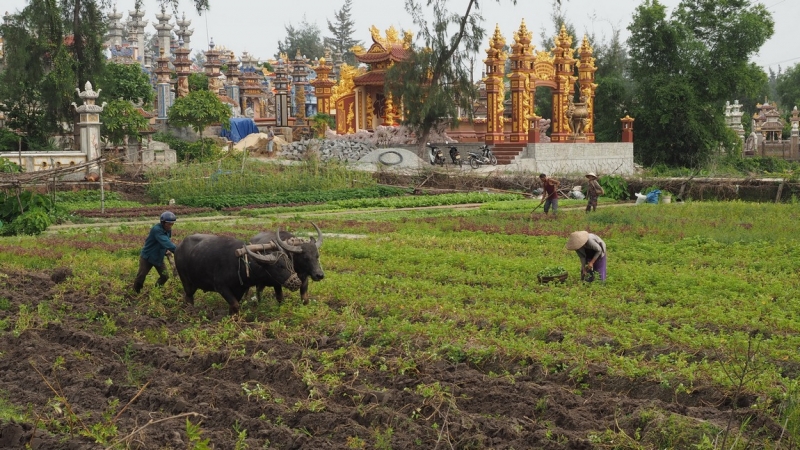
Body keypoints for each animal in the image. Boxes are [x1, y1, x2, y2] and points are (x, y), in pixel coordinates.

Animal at [173, 234, 302, 314]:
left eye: (289, 262)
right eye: (279, 266)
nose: (297, 282)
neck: (240, 263)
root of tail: (178, 247)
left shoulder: (240, 288)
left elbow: (234, 305)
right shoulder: (221, 287)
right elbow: (235, 305)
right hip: (186, 281)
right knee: (188, 296)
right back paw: (190, 311)